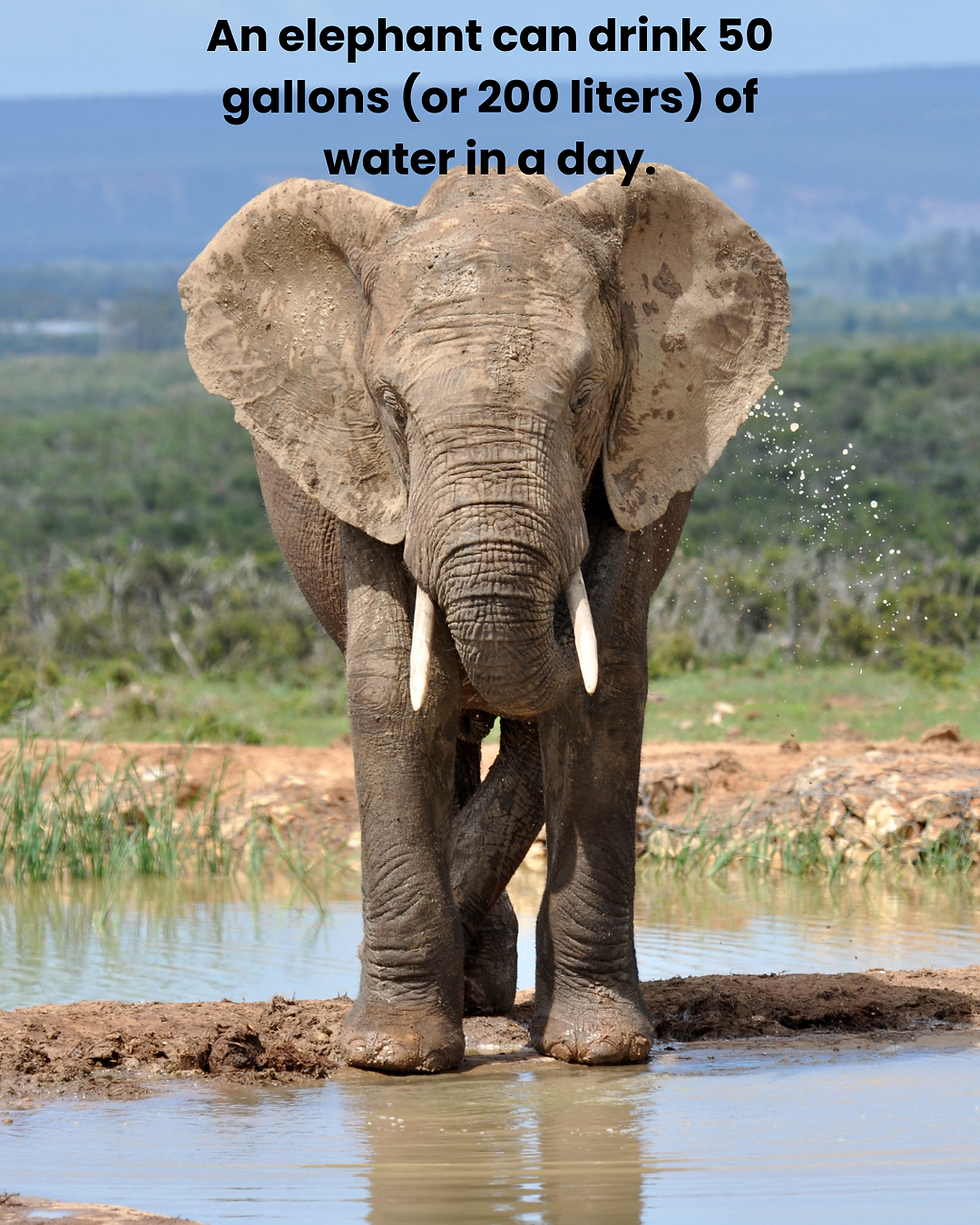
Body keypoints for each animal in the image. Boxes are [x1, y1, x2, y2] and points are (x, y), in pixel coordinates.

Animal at [179, 164, 789, 1073]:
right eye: (392, 407)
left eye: (584, 399)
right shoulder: (368, 474)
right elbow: (394, 688)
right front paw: (392, 1058)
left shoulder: (631, 463)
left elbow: (604, 683)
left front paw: (600, 1049)